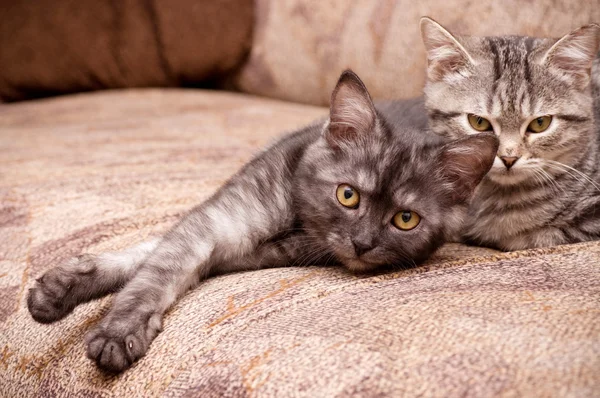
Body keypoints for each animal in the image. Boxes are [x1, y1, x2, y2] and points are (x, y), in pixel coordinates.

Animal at [28, 70, 496, 372]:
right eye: (348, 195)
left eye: (405, 219)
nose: (362, 243)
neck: (296, 219)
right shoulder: (217, 222)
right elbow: (154, 263)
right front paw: (65, 291)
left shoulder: (237, 249)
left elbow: (155, 263)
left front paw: (114, 330)